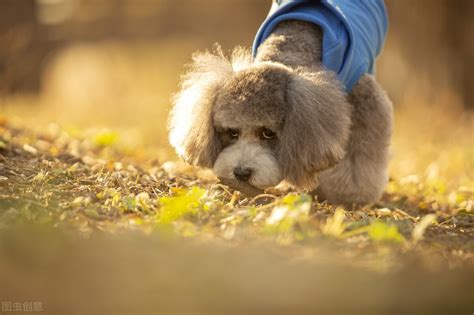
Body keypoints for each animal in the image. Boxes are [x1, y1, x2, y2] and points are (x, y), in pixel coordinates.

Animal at [169, 0, 392, 205]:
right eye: (232, 132)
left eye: (268, 133)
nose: (241, 173)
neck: (292, 44)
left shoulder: (363, 98)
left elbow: (358, 158)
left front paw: (351, 196)